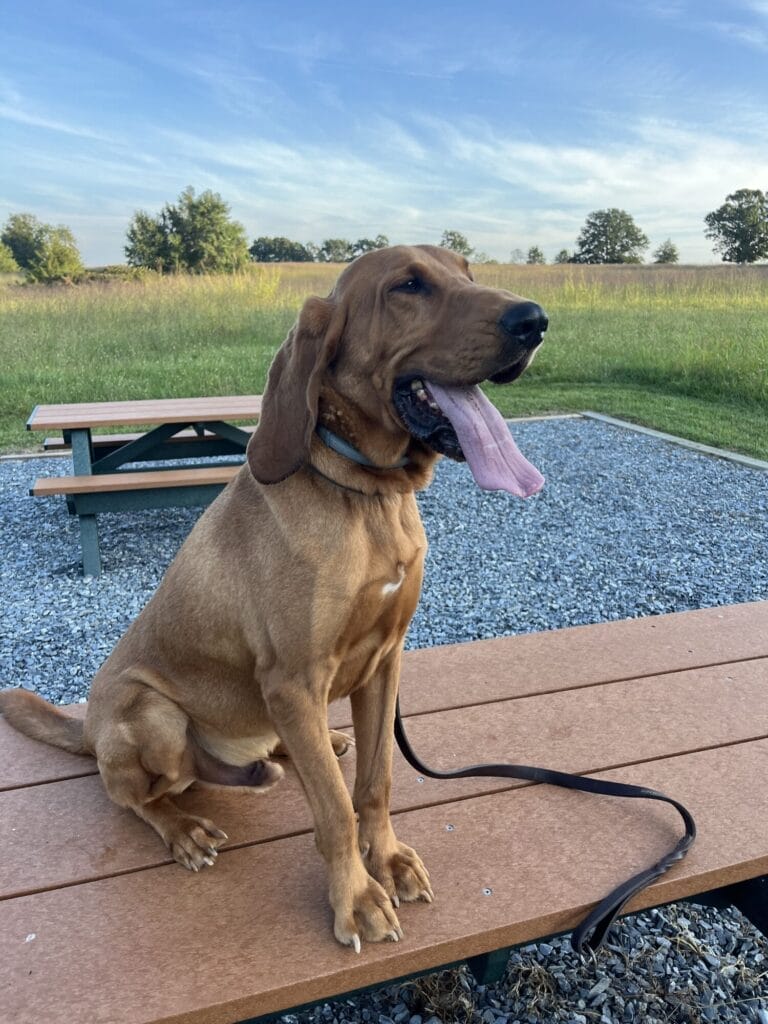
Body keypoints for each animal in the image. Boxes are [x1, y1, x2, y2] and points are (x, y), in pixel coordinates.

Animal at [0, 245, 547, 951]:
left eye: (468, 274)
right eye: (408, 286)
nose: (535, 321)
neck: (366, 498)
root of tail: (89, 730)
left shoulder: (385, 661)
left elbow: (374, 782)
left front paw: (388, 860)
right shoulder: (294, 678)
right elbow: (335, 811)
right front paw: (355, 899)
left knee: (272, 753)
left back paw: (281, 759)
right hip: (152, 716)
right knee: (138, 795)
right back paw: (185, 828)